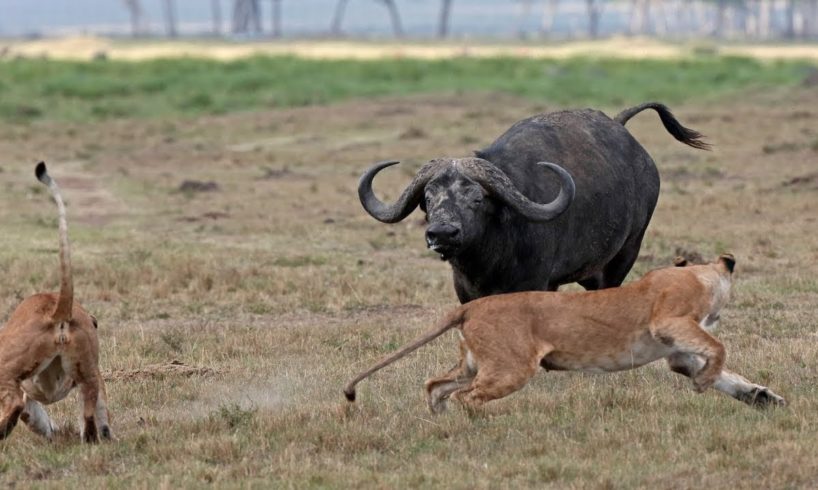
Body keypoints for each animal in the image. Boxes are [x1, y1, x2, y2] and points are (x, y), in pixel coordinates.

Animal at [358, 103, 708, 302]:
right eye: (428, 199)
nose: (442, 233)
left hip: (626, 252)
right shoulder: (465, 291)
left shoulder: (535, 282)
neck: (489, 258)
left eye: (477, 198)